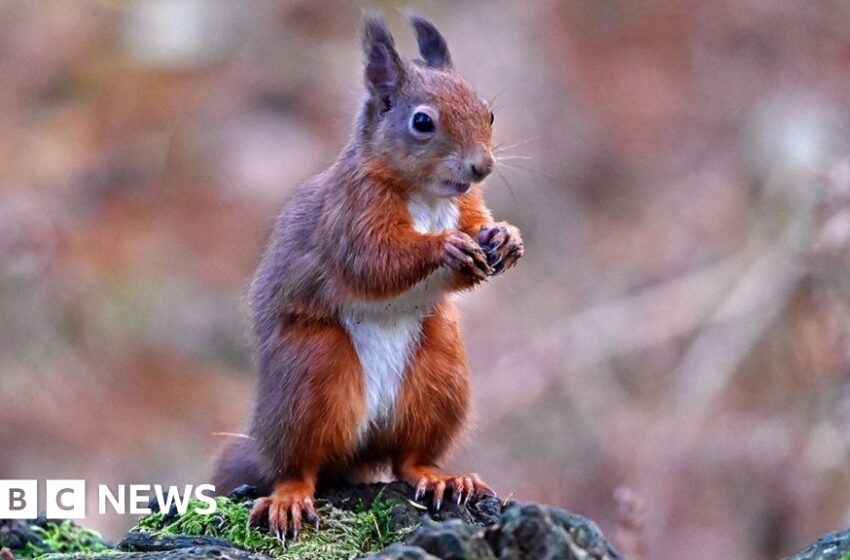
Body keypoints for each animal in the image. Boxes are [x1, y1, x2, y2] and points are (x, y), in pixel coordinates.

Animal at [212, 15, 524, 540]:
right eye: (422, 122)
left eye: (490, 114)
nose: (482, 167)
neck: (427, 195)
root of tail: (365, 443)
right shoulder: (351, 213)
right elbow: (374, 263)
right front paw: (444, 247)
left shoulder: (467, 205)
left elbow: (477, 228)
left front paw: (505, 237)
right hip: (312, 373)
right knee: (299, 464)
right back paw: (289, 498)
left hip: (439, 376)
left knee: (408, 459)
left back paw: (442, 478)